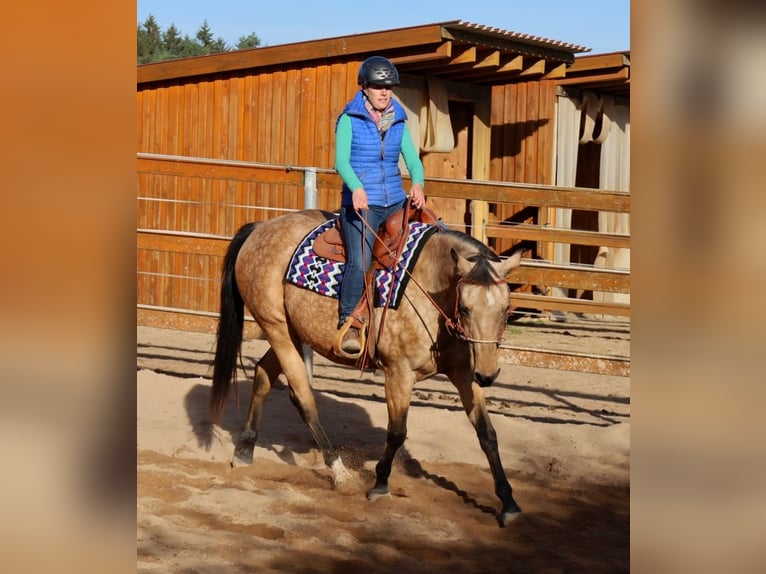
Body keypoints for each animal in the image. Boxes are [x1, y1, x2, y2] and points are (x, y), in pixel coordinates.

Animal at [212, 209, 528, 528]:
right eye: (465, 309)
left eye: (506, 309)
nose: (488, 374)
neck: (431, 286)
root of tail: (259, 229)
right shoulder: (399, 374)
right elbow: (397, 432)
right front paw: (380, 485)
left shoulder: (465, 373)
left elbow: (487, 434)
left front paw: (509, 502)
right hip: (276, 328)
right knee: (303, 399)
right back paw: (340, 474)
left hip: (291, 332)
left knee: (263, 374)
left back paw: (244, 449)